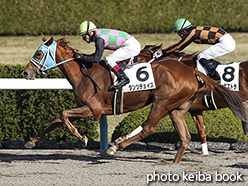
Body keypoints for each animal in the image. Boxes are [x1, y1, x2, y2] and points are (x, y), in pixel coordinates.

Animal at [22, 35, 246, 163]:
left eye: (39, 53)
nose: (25, 73)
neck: (84, 74)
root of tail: (191, 72)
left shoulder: (93, 111)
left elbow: (62, 114)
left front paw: (82, 137)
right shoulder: (84, 108)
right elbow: (57, 120)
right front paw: (31, 142)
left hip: (162, 102)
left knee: (149, 127)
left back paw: (115, 147)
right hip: (177, 108)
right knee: (184, 137)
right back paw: (172, 163)